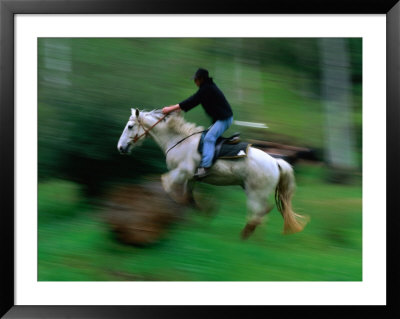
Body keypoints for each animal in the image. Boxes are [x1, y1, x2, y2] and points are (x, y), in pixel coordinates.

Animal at [117, 109, 308, 239]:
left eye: (130, 126)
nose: (120, 147)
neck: (179, 141)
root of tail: (276, 162)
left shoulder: (182, 171)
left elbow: (168, 185)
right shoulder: (189, 178)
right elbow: (188, 196)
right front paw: (206, 209)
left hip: (256, 191)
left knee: (259, 211)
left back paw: (246, 234)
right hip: (252, 190)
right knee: (262, 211)